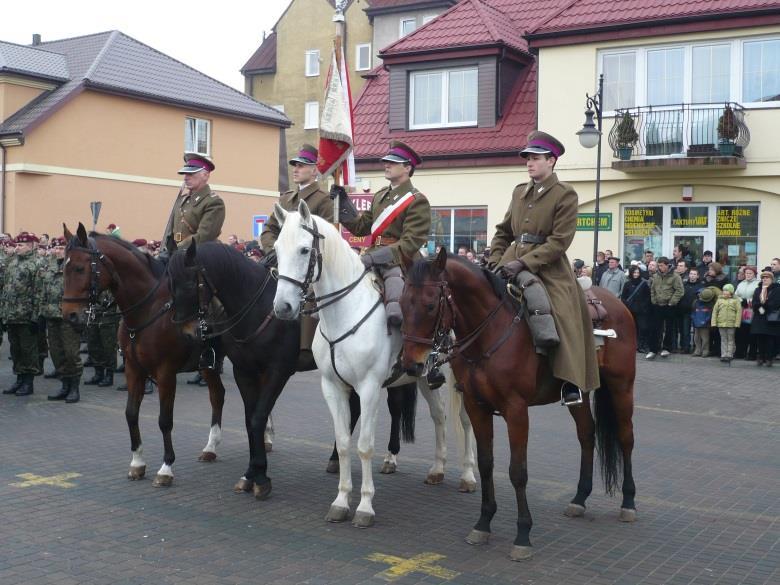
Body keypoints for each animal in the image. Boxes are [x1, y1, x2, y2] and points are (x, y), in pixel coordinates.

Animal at [62, 221, 227, 486]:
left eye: (79, 268)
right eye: (63, 268)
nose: (70, 315)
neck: (148, 309)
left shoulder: (166, 372)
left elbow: (165, 420)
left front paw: (166, 468)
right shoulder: (133, 368)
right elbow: (131, 413)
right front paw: (137, 463)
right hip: (208, 364)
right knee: (218, 395)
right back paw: (211, 447)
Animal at [272, 200, 476, 524]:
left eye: (304, 250)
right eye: (277, 249)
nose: (283, 307)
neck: (346, 312)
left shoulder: (368, 389)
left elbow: (364, 446)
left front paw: (365, 505)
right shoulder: (332, 388)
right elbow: (344, 443)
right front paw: (341, 500)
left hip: (459, 378)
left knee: (465, 420)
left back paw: (468, 475)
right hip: (423, 376)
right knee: (440, 416)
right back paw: (437, 469)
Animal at [400, 250, 636, 560]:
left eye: (429, 305)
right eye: (402, 303)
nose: (411, 364)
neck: (491, 331)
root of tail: (615, 301)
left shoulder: (516, 410)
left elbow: (518, 471)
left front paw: (523, 534)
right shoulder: (477, 406)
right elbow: (486, 464)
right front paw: (483, 523)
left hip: (622, 386)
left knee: (625, 438)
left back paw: (628, 502)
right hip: (580, 387)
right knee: (587, 434)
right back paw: (579, 498)